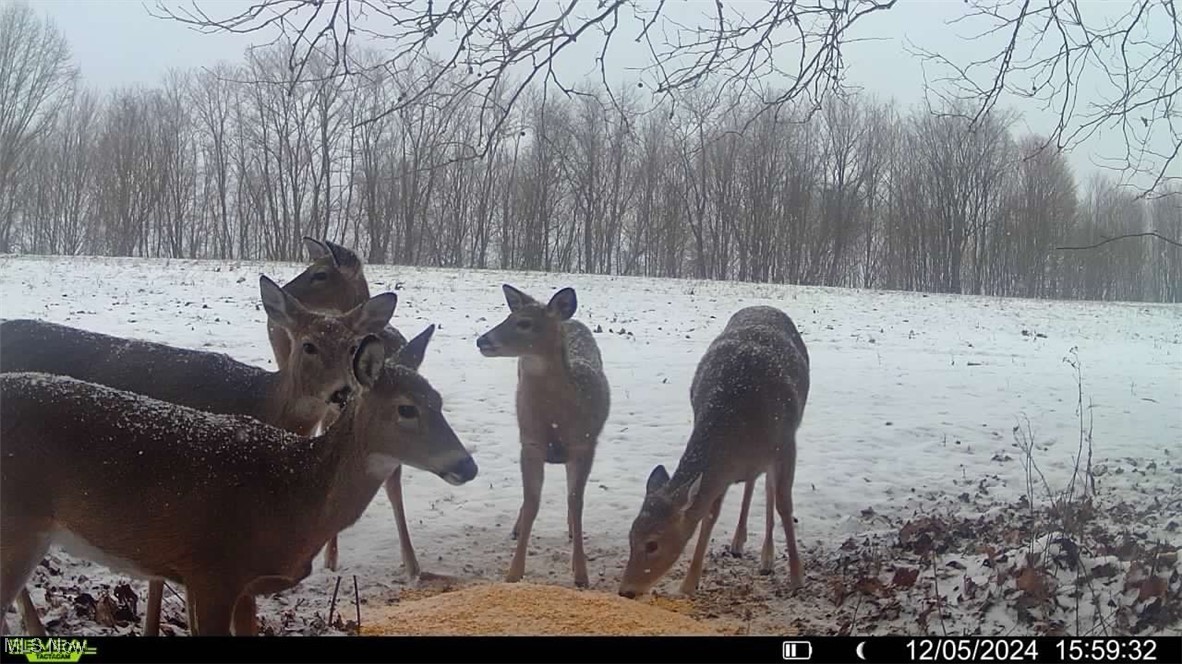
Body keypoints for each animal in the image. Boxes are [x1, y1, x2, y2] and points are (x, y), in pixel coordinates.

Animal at [1, 328, 479, 633]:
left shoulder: (242, 584)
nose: (468, 466)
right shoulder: (211, 570)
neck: (296, 493)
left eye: (438, 401)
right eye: (406, 408)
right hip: (18, 525)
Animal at [477, 284, 614, 583]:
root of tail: (570, 320)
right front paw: (513, 572)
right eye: (507, 316)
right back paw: (516, 528)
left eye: (524, 323)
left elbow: (576, 502)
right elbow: (531, 502)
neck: (555, 420)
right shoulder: (529, 444)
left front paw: (581, 573)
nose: (481, 340)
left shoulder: (585, 445)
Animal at [614, 307, 808, 597]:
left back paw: (767, 557)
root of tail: (765, 306)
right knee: (753, 482)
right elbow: (710, 515)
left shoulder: (785, 444)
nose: (626, 590)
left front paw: (796, 577)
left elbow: (785, 506)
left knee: (769, 489)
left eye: (653, 544)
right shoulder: (721, 470)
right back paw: (739, 541)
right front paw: (689, 583)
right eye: (630, 536)